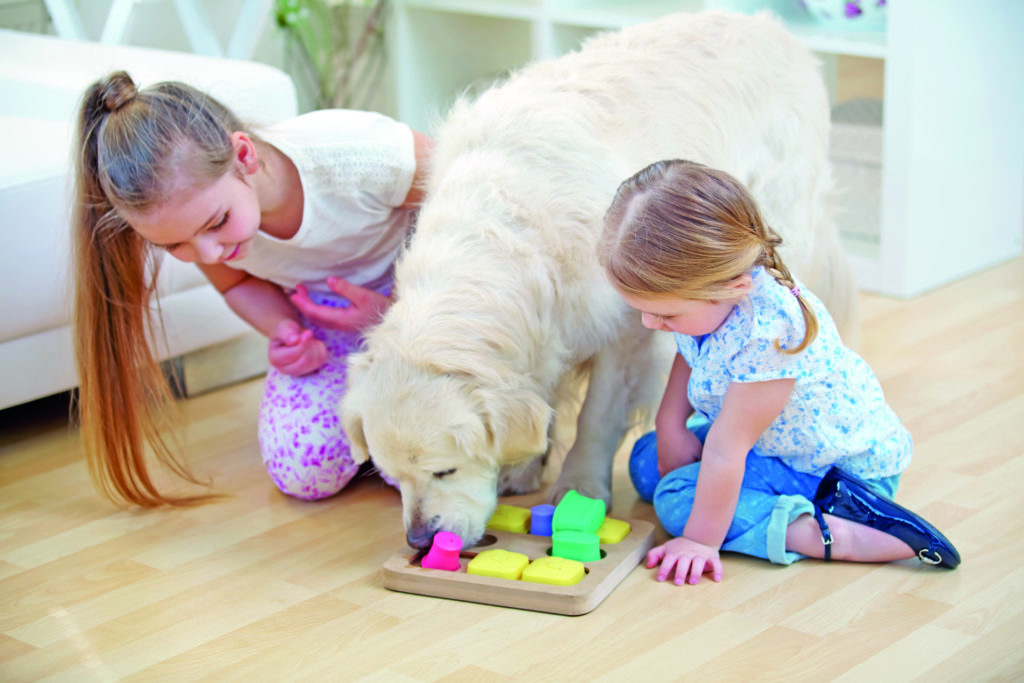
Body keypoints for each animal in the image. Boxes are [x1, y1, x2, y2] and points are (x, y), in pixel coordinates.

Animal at [344, 10, 856, 548]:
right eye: (392, 476)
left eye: (445, 470)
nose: (420, 540)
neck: (501, 230)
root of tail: (772, 24)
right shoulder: (543, 331)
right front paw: (525, 465)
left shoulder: (628, 328)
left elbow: (597, 415)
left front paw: (580, 485)